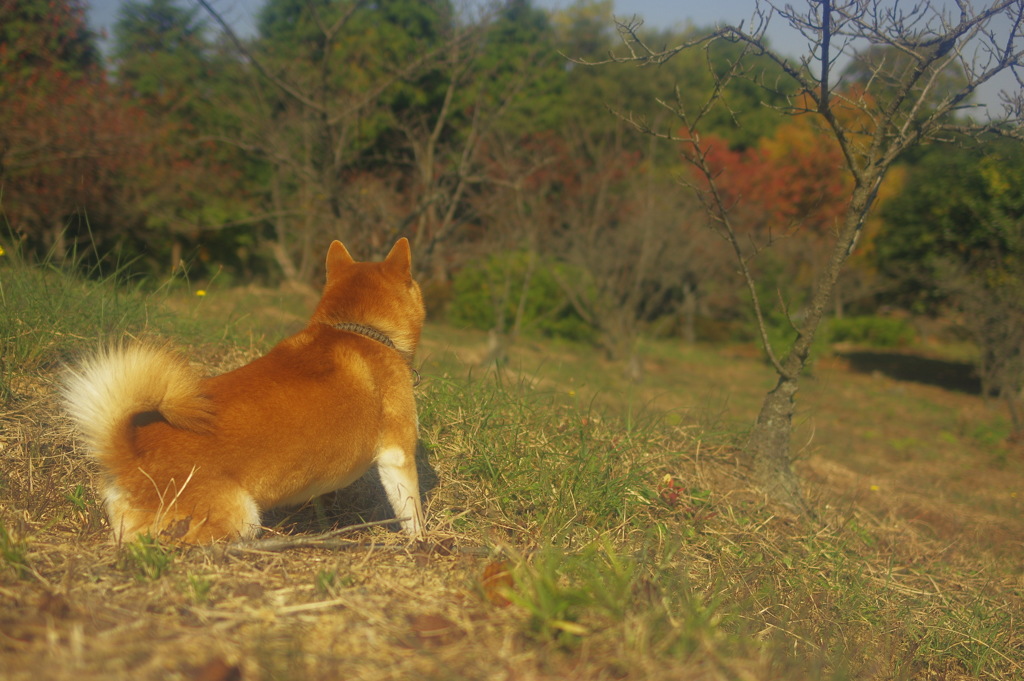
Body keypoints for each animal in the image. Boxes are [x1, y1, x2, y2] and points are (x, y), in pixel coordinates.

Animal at [64, 237, 425, 540]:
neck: (359, 329)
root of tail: (130, 455)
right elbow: (412, 510)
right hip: (242, 516)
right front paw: (422, 542)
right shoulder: (397, 455)